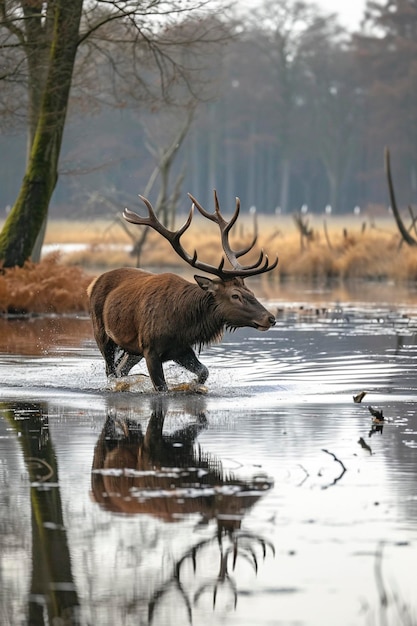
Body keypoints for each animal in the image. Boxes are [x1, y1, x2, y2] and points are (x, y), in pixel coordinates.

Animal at [87, 191, 276, 390]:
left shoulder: (181, 349)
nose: (270, 318)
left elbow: (204, 372)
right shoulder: (151, 349)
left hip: (132, 349)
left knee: (121, 369)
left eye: (251, 293)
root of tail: (93, 283)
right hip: (102, 334)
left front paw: (191, 385)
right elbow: (161, 388)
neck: (183, 324)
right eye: (235, 295)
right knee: (110, 371)